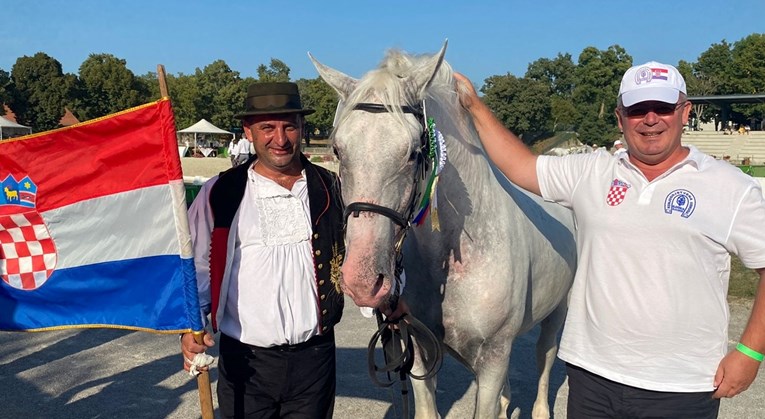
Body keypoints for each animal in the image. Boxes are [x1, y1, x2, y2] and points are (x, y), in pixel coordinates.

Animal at [310, 44, 572, 418]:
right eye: (337, 150)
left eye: (412, 152)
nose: (362, 282)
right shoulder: (421, 351)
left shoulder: (493, 358)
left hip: (556, 314)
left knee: (544, 360)